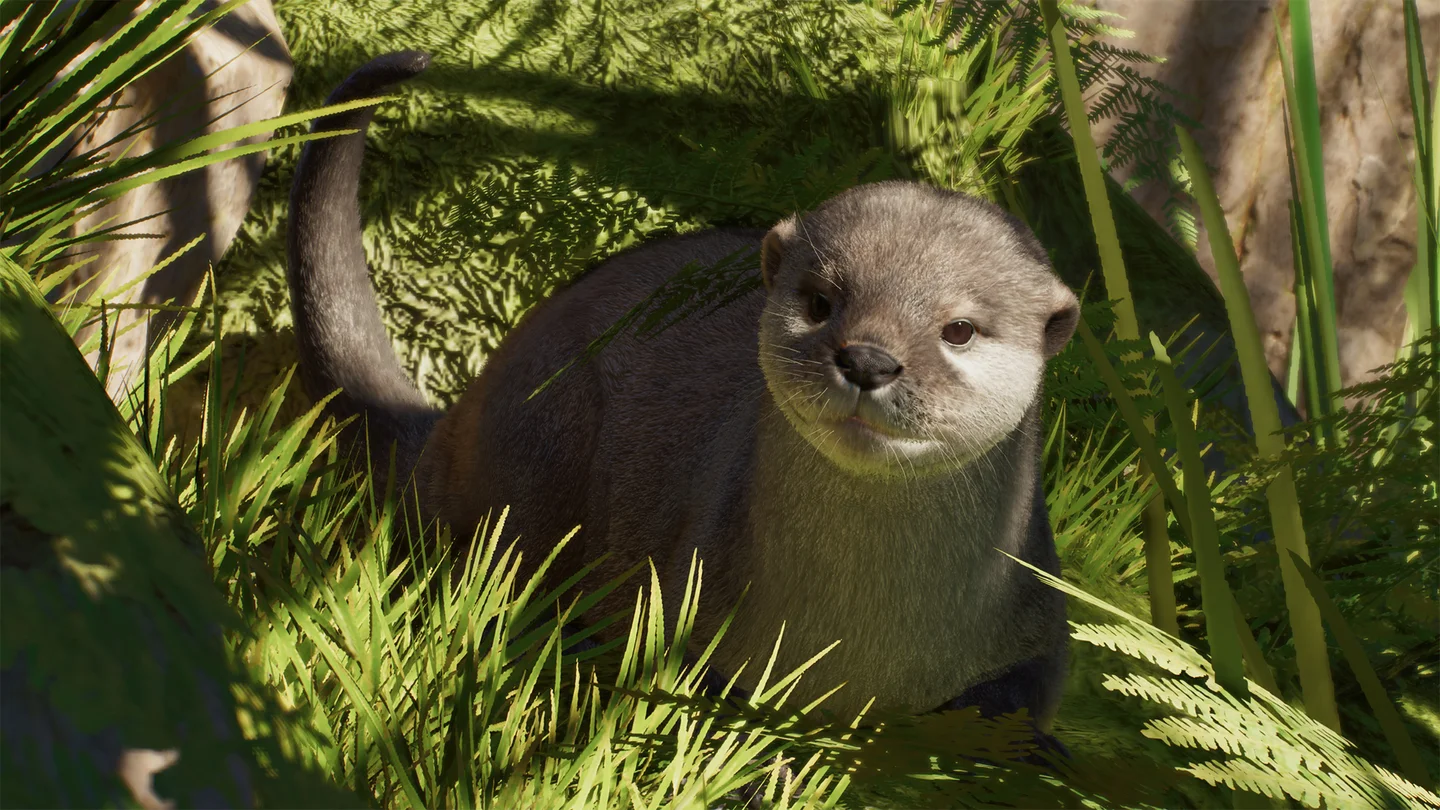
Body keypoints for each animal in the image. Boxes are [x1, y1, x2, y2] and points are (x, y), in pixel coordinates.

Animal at [288, 52, 1079, 729]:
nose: (869, 359)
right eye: (821, 301)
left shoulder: (1036, 631)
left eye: (959, 329)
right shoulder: (691, 612)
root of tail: (458, 422)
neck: (865, 650)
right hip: (540, 443)